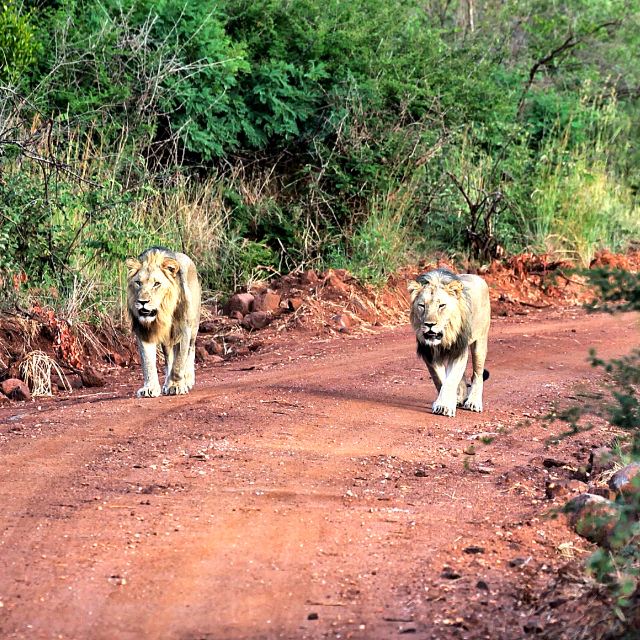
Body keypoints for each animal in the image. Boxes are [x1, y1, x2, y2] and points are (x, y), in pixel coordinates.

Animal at [126, 248, 201, 398]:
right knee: (169, 358)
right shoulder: (144, 331)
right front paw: (150, 388)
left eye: (157, 284)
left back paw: (188, 379)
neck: (162, 314)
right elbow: (148, 362)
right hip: (168, 340)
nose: (143, 302)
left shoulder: (184, 328)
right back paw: (167, 383)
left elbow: (179, 362)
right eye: (138, 283)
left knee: (190, 350)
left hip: (193, 327)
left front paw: (176, 386)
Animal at [408, 268, 492, 418]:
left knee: (477, 374)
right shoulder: (429, 353)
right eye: (422, 306)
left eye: (441, 305)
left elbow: (451, 380)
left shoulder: (459, 350)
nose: (429, 324)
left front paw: (445, 406)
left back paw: (473, 402)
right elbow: (440, 379)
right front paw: (447, 402)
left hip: (480, 342)